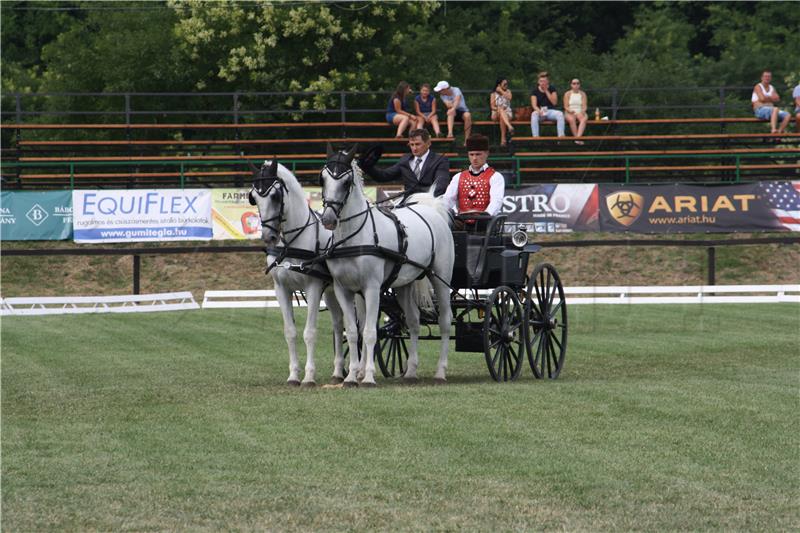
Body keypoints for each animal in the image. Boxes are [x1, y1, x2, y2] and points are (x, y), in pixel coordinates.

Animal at [248, 159, 348, 386]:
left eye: (275, 196)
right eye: (254, 198)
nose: (268, 237)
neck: (292, 243)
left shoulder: (313, 288)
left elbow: (309, 333)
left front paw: (309, 377)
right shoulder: (281, 289)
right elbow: (290, 332)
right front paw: (294, 375)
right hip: (331, 292)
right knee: (338, 325)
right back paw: (338, 372)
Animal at [320, 144, 456, 386]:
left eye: (346, 182)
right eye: (323, 179)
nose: (327, 219)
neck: (354, 237)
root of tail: (431, 210)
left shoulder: (372, 289)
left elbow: (370, 332)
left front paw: (368, 377)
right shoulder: (344, 289)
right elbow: (353, 332)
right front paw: (351, 377)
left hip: (441, 278)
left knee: (445, 321)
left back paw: (440, 372)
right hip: (404, 284)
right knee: (413, 321)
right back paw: (411, 371)